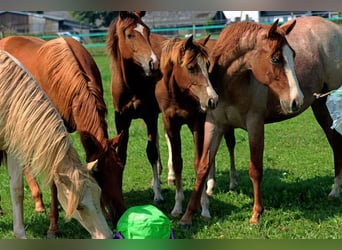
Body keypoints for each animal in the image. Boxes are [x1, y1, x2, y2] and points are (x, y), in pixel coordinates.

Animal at [107, 11, 166, 203]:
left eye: (147, 31)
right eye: (129, 35)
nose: (154, 64)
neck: (131, 84)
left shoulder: (150, 116)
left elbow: (151, 152)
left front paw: (158, 194)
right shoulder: (121, 119)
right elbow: (122, 154)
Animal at [154, 34, 218, 217]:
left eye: (207, 66)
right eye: (191, 68)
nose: (213, 99)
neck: (178, 96)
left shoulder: (197, 123)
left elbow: (199, 162)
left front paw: (204, 207)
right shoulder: (170, 123)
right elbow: (177, 162)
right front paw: (177, 206)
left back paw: (210, 187)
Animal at [206, 15, 342, 219]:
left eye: (293, 55)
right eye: (276, 58)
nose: (296, 100)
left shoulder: (255, 125)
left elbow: (255, 169)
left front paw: (256, 213)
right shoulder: (216, 126)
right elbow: (206, 162)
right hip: (321, 106)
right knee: (335, 143)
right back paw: (335, 190)